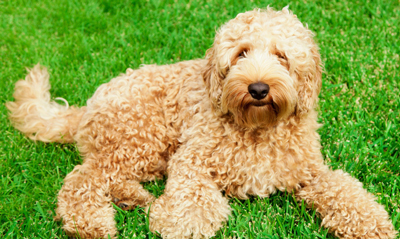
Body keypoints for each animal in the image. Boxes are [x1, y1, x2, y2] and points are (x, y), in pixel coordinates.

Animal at [5, 6, 396, 238]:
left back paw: (136, 198)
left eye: (282, 56)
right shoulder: (192, 159)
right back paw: (92, 224)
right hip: (141, 138)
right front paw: (181, 223)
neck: (256, 127)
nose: (258, 88)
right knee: (83, 178)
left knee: (107, 177)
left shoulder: (309, 172)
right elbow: (192, 196)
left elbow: (344, 190)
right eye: (241, 53)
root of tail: (86, 107)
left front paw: (373, 224)